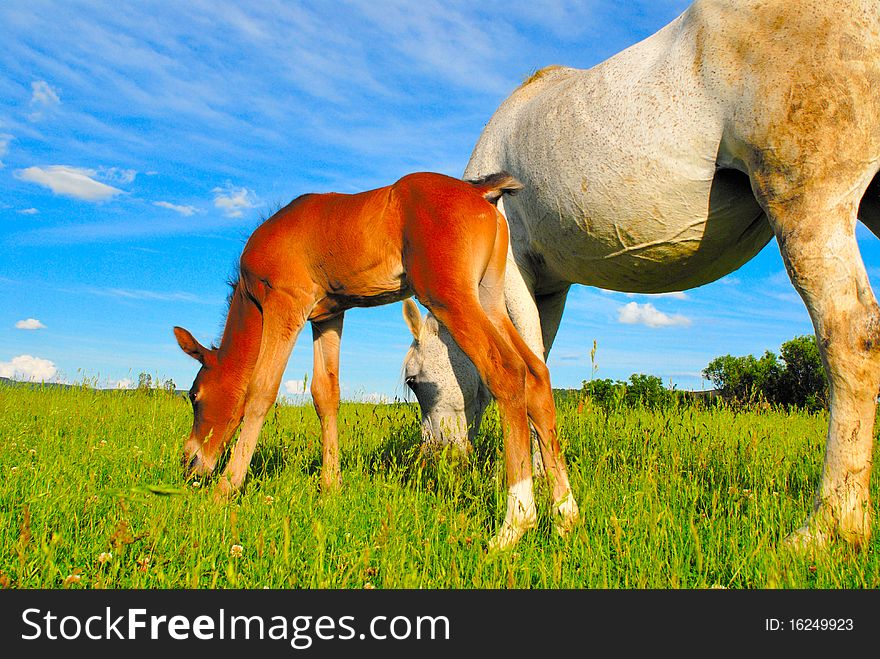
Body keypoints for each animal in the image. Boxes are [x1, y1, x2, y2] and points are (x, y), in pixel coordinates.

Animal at [402, 0, 880, 548]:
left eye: (415, 382)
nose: (432, 462)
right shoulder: (552, 288)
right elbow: (539, 361)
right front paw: (546, 475)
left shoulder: (515, 274)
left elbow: (528, 366)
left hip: (807, 199)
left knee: (851, 335)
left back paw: (829, 526)